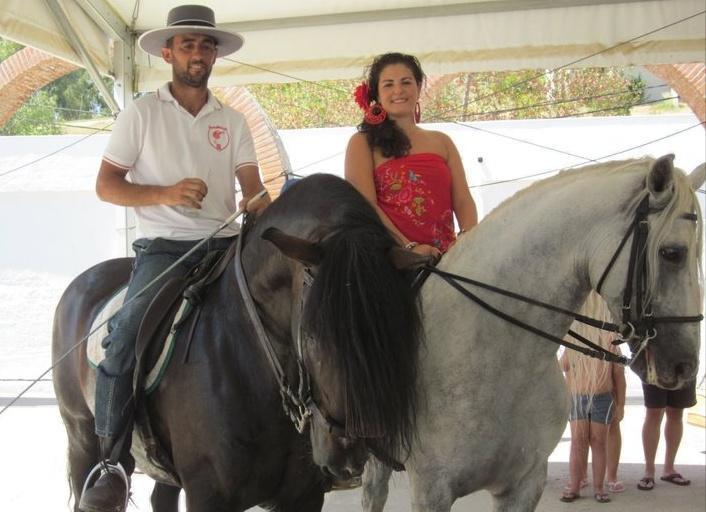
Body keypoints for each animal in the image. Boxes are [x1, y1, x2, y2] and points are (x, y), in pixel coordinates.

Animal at [53, 174, 424, 510]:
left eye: (393, 335)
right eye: (312, 336)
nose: (347, 456)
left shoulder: (303, 497)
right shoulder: (209, 496)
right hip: (81, 437)